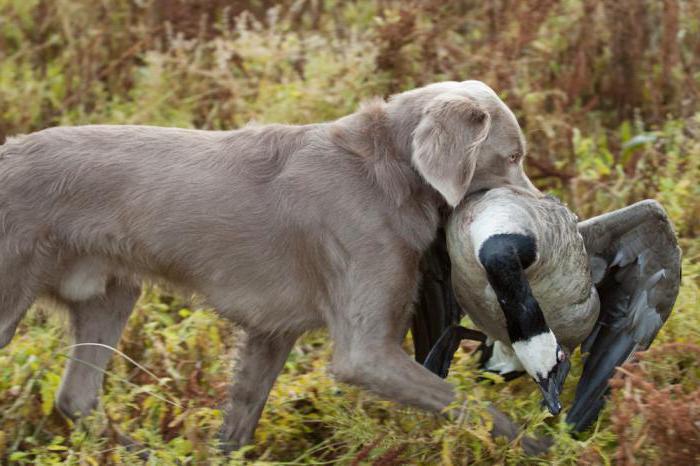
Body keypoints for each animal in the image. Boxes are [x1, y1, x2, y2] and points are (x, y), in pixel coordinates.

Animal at [0, 79, 540, 452]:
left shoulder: (270, 333)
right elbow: (475, 406)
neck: (387, 168)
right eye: (512, 156)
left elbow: (239, 425)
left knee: (75, 397)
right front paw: (544, 444)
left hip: (109, 296)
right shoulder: (366, 355)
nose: (548, 211)